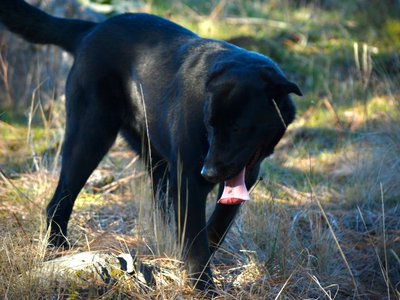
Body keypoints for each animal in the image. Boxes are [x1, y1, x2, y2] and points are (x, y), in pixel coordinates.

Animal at [0, 0, 300, 290]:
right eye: (210, 124)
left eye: (238, 128)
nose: (209, 173)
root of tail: (92, 30)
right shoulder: (188, 180)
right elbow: (196, 240)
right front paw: (202, 286)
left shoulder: (243, 174)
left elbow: (215, 226)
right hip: (90, 136)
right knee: (60, 198)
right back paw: (56, 249)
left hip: (155, 159)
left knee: (160, 204)